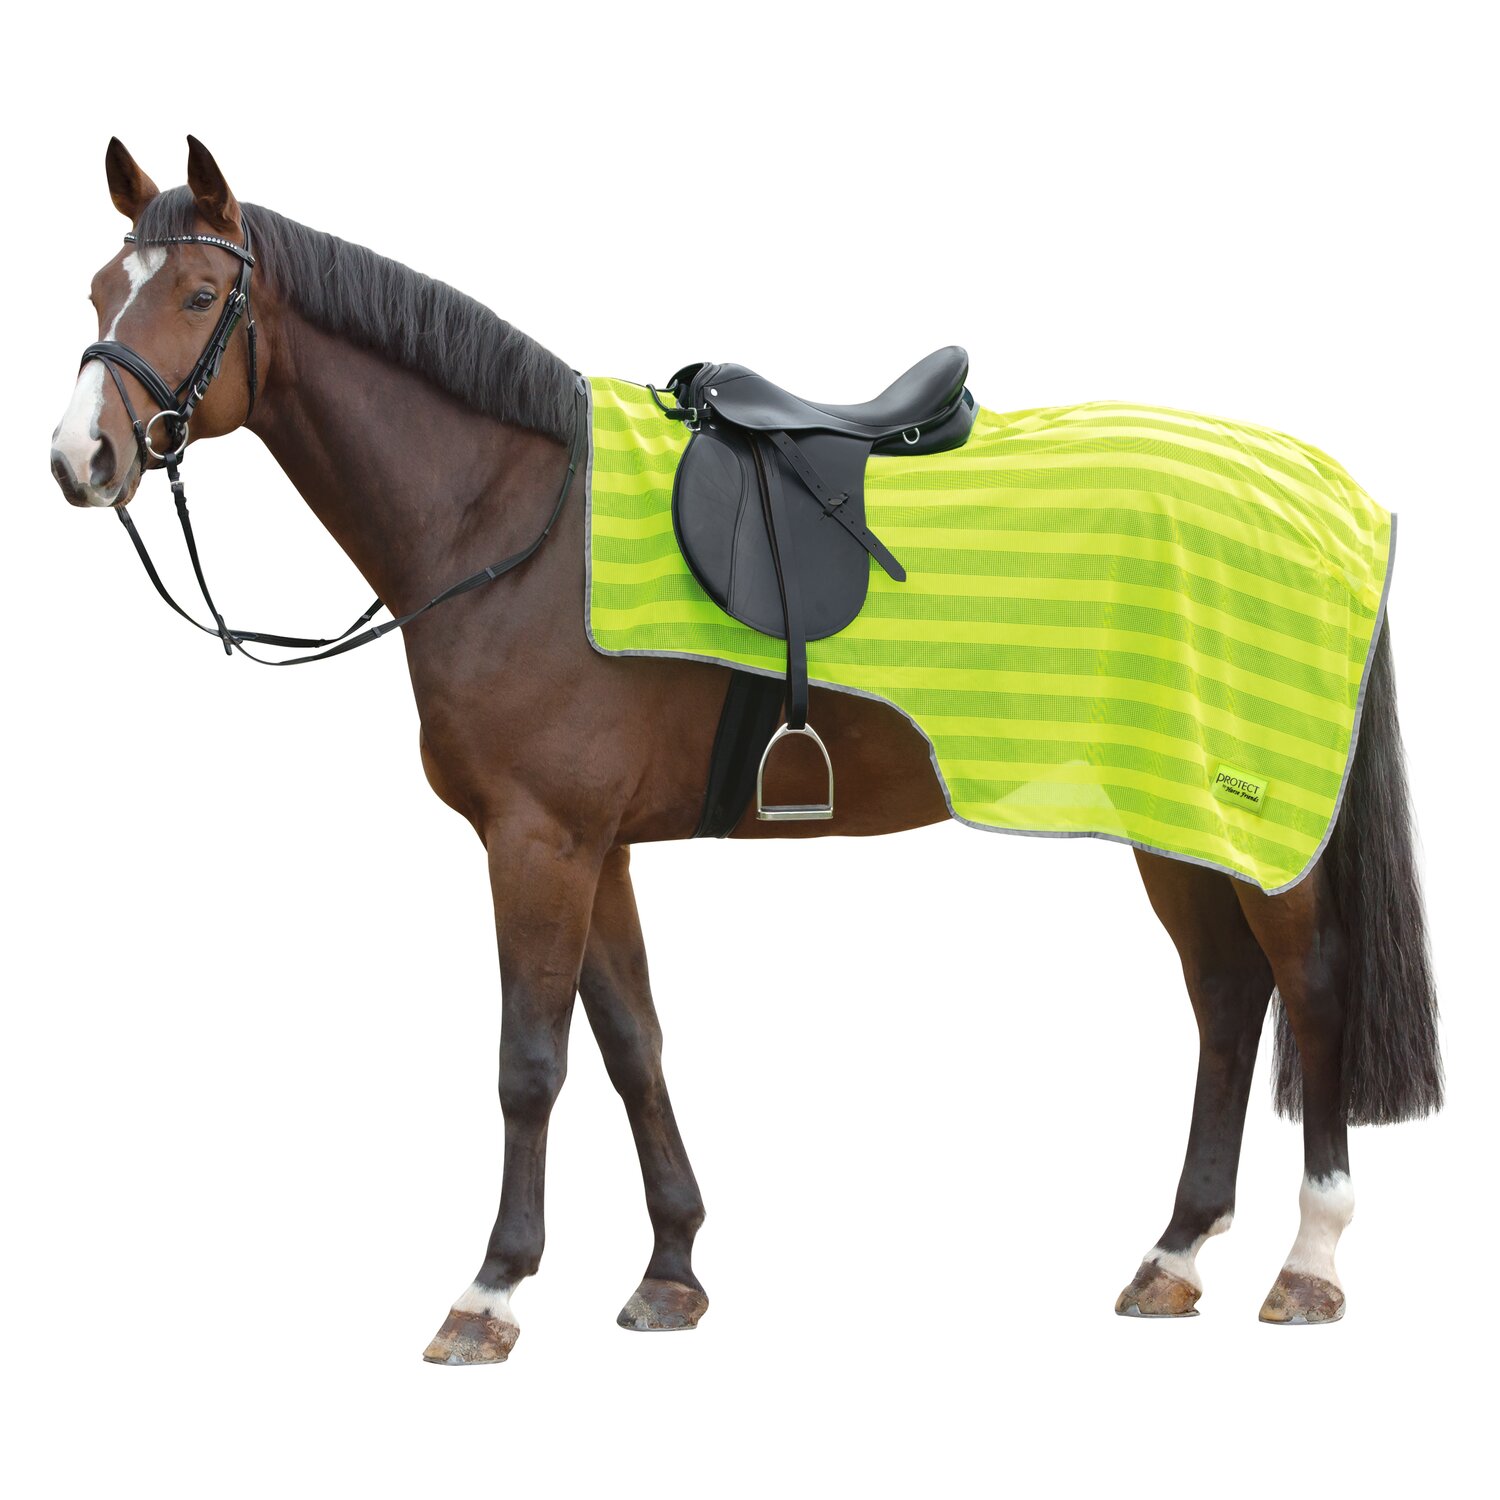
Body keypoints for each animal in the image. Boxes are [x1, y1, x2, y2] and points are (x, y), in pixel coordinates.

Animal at [49, 137, 1442, 1363]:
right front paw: (671, 1269)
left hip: (1250, 818)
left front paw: (492, 1290)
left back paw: (1309, 1262)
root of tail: (1323, 493)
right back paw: (1176, 1254)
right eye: (100, 292)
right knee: (1228, 999)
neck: (513, 516)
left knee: (1310, 987)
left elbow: (530, 1064)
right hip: (1171, 812)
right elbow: (633, 1048)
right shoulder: (594, 847)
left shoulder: (538, 843)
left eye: (197, 294)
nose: (81, 457)